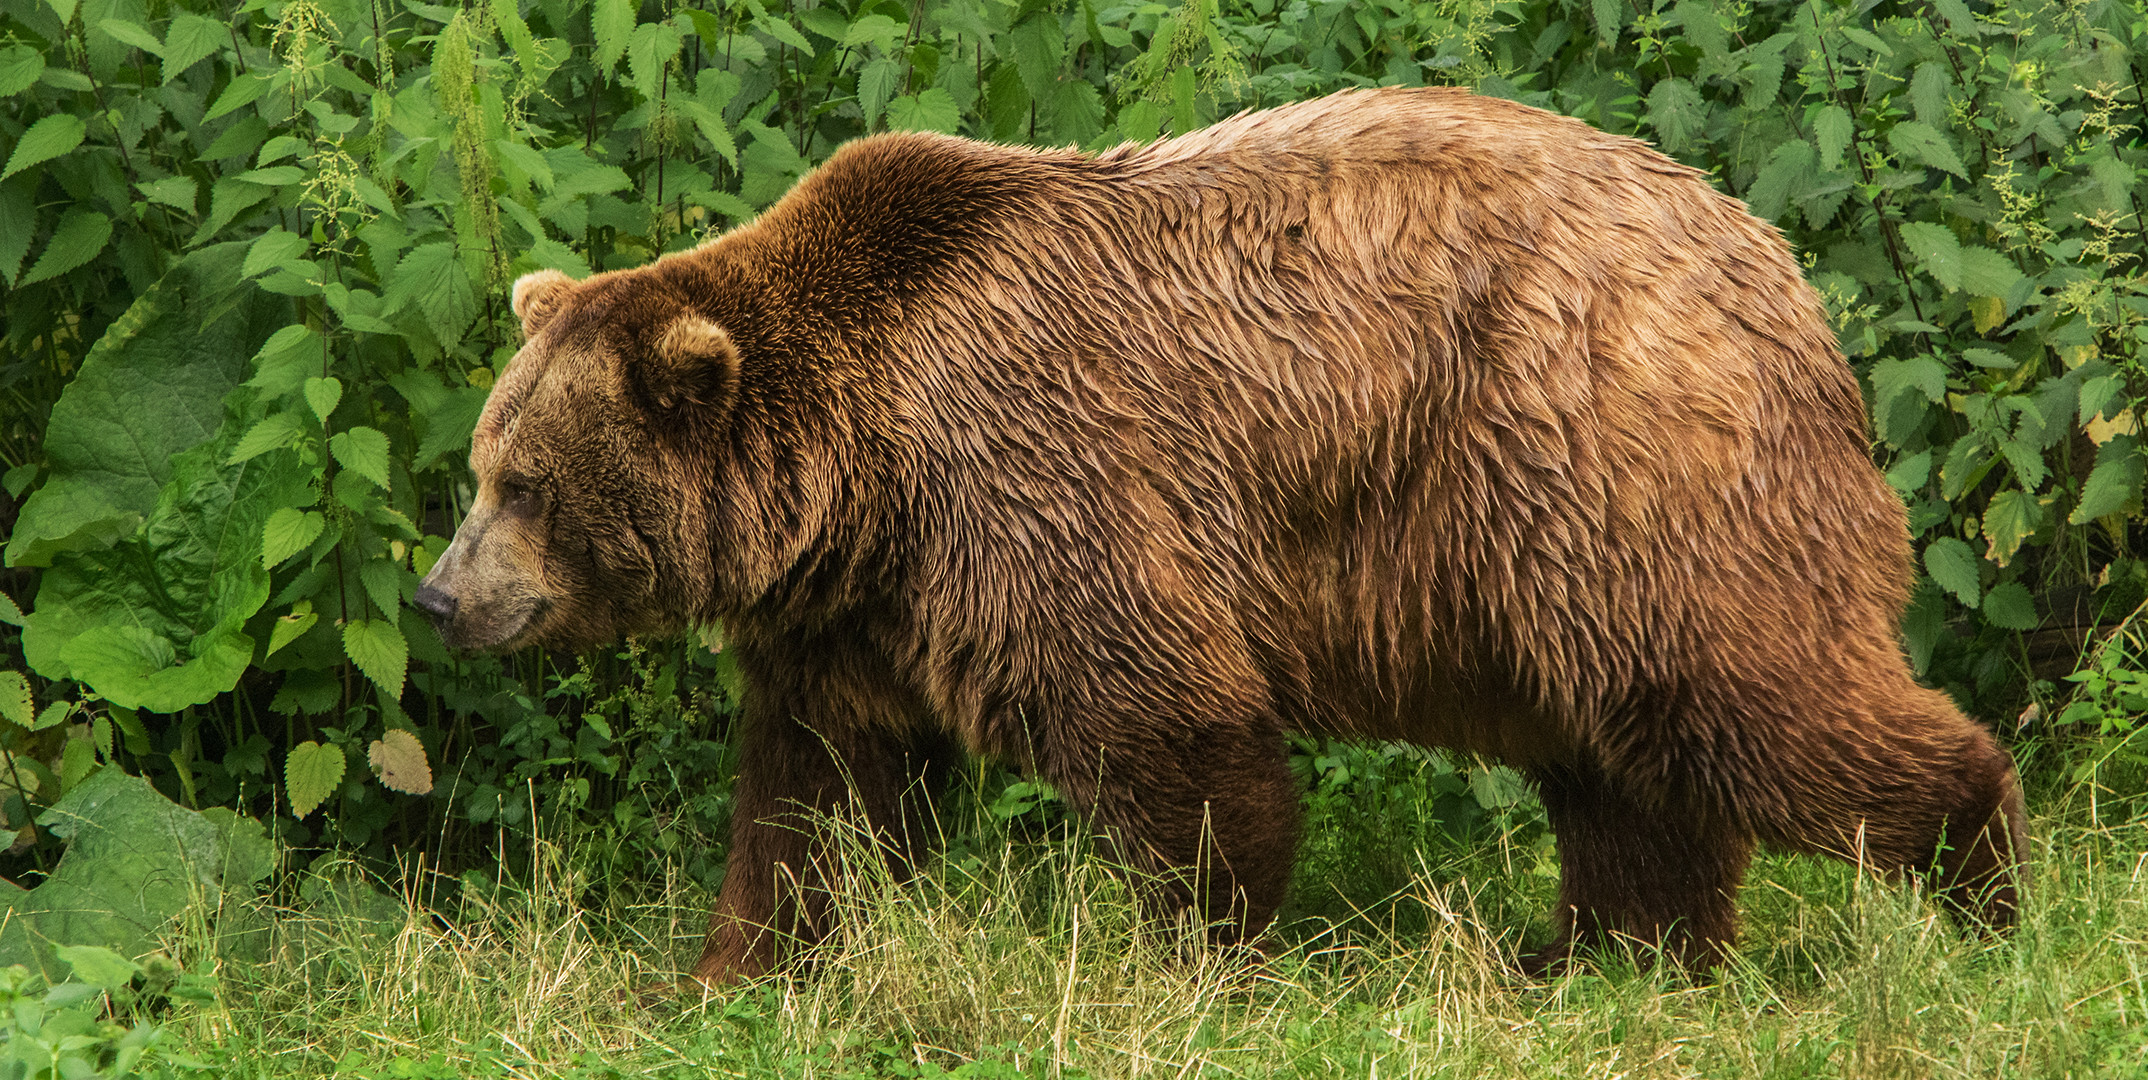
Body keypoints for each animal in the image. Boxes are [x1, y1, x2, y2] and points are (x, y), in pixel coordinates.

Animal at [410, 86, 2019, 979]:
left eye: (526, 486)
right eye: (481, 467)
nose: (438, 598)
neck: (858, 477)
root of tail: (1779, 269)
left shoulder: (1032, 476)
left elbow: (1169, 727)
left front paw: (1199, 947)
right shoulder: (859, 608)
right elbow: (817, 799)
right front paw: (733, 970)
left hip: (1605, 464)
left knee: (1742, 696)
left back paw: (1976, 876)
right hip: (1541, 556)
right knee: (1626, 758)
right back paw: (1603, 955)